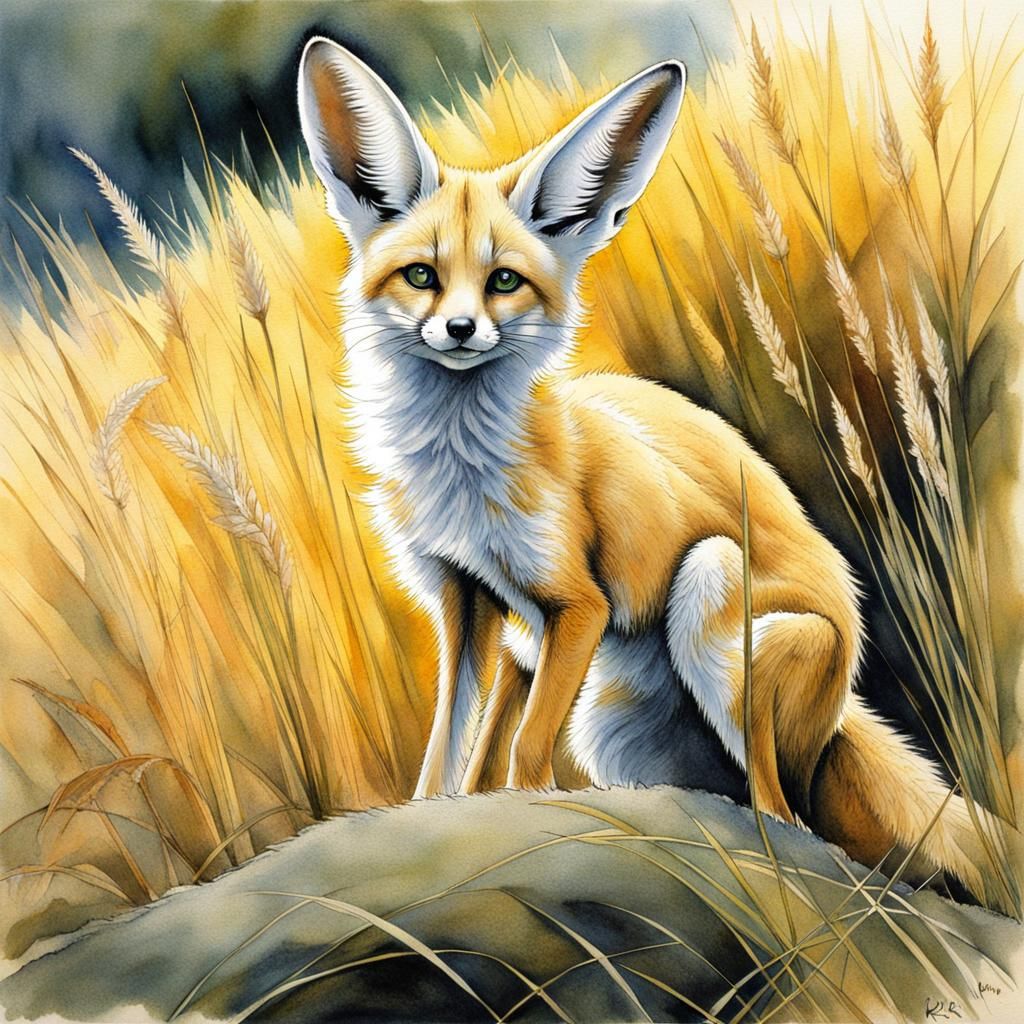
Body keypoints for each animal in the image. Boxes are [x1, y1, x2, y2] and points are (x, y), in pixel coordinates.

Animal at [297, 37, 988, 901]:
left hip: (709, 587)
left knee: (785, 813)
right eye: (421, 275)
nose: (459, 331)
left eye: (502, 281)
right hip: (608, 721)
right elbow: (451, 747)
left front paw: (529, 816)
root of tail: (847, 685)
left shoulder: (577, 604)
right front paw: (429, 818)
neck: (462, 472)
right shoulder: (467, 603)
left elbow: (525, 751)